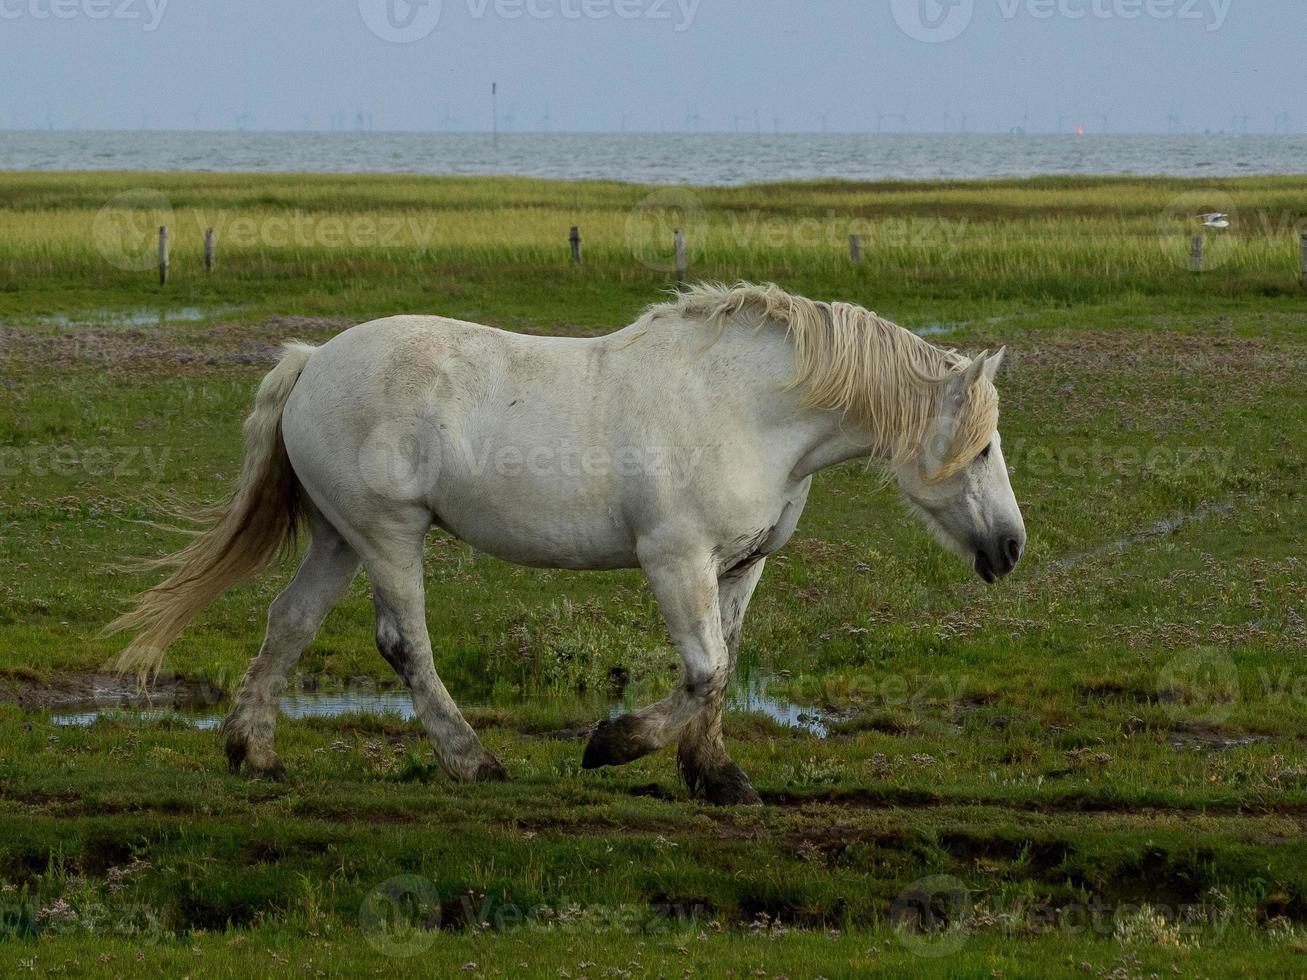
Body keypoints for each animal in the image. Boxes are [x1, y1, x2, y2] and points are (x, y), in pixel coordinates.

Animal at [107, 282, 1024, 804]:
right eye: (981, 448)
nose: (1010, 548)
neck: (744, 406)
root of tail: (312, 360)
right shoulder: (675, 561)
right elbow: (702, 671)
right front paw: (612, 745)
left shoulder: (740, 566)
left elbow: (724, 671)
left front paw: (716, 777)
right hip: (386, 533)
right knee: (404, 643)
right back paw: (472, 762)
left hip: (337, 536)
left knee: (289, 624)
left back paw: (253, 754)